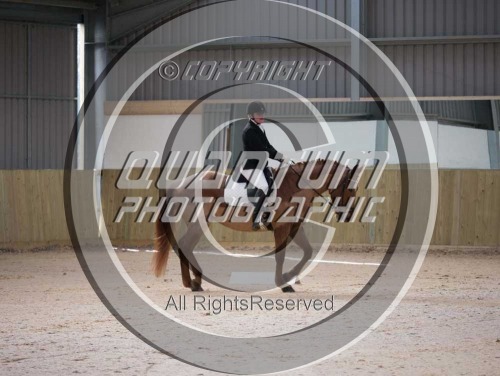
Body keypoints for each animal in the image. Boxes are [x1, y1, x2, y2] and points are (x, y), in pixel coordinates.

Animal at [151, 159, 356, 294]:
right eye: (350, 188)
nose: (348, 214)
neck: (293, 186)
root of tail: (181, 183)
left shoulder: (294, 227)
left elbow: (308, 252)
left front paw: (289, 276)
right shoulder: (282, 227)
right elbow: (281, 256)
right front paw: (283, 283)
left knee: (186, 247)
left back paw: (196, 282)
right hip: (197, 225)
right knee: (185, 245)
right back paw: (191, 283)